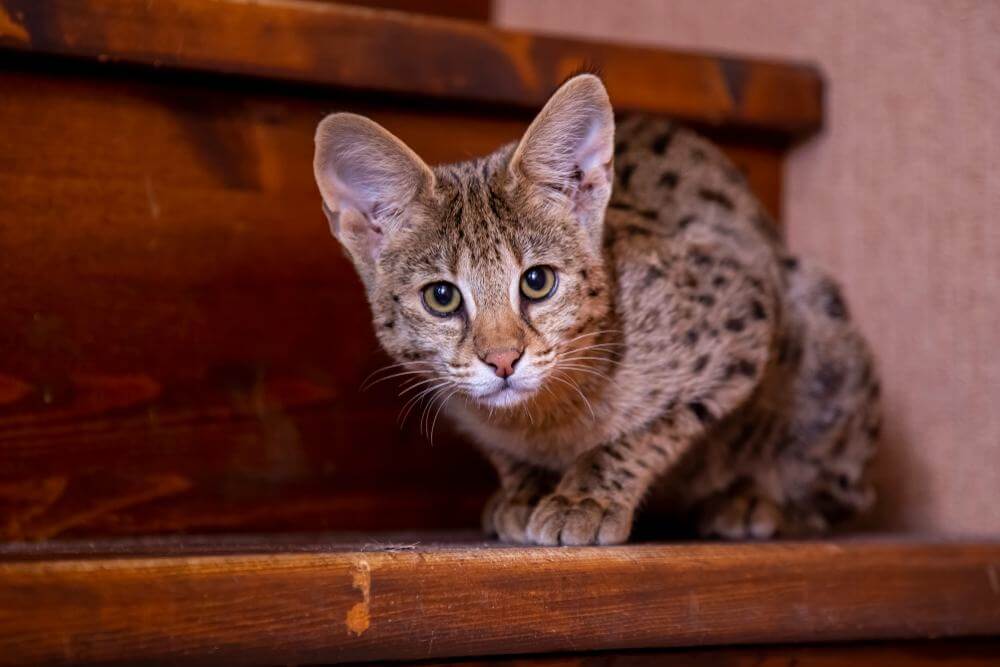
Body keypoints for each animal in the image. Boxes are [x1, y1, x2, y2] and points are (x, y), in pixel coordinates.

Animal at [310, 73, 876, 544]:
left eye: (537, 282)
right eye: (441, 297)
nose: (503, 360)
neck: (541, 417)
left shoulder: (746, 306)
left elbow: (652, 427)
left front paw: (586, 495)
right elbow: (503, 448)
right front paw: (527, 487)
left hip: (818, 314)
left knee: (846, 489)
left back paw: (756, 501)